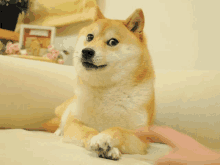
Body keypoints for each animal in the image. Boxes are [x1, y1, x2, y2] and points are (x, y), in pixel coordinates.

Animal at [54, 7, 156, 160]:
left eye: (113, 42)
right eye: (90, 37)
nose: (86, 51)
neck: (106, 89)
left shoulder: (141, 139)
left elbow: (118, 130)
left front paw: (105, 139)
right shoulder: (75, 123)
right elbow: (88, 131)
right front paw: (96, 139)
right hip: (66, 109)